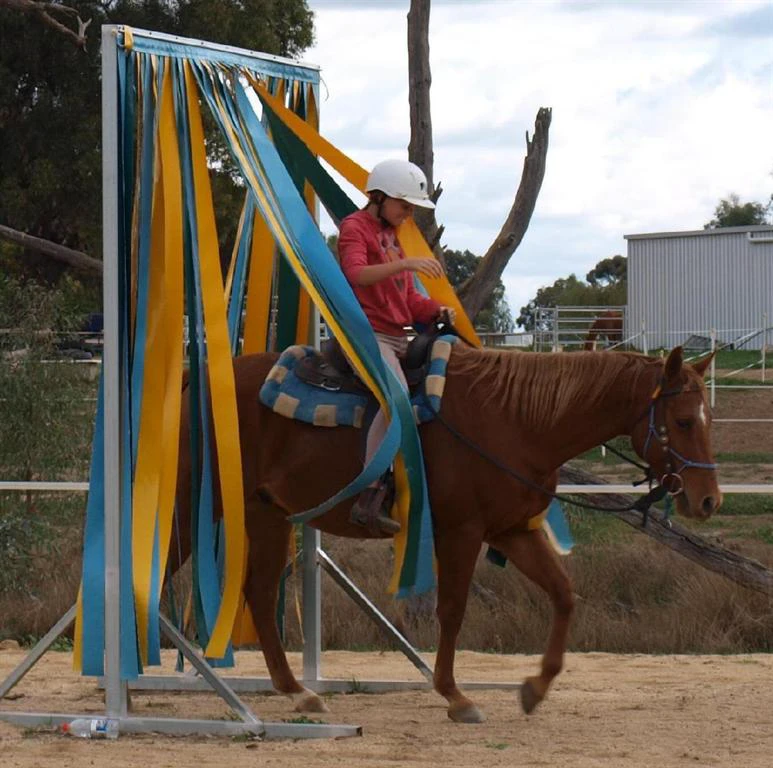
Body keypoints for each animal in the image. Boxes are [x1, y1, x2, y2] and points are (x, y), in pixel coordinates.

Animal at [172, 343, 720, 723]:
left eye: (707, 418)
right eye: (682, 420)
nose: (708, 501)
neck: (515, 421)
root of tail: (196, 377)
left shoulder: (513, 531)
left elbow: (564, 595)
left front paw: (535, 688)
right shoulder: (462, 531)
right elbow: (453, 610)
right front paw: (456, 697)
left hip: (265, 514)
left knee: (260, 594)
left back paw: (298, 692)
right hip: (194, 506)